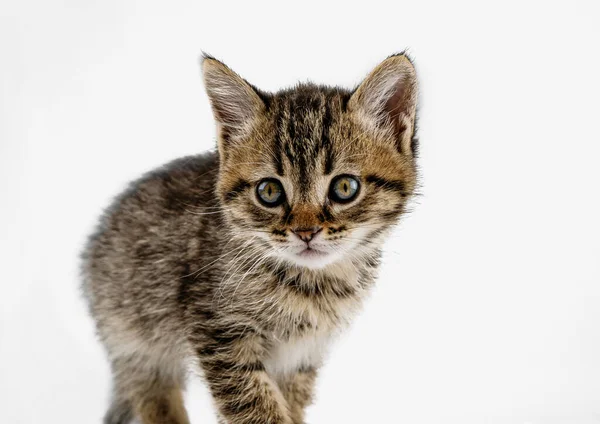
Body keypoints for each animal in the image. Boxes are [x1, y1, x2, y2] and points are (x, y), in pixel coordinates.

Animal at [82, 53, 420, 424]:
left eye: (345, 187)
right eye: (269, 192)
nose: (305, 232)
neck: (312, 285)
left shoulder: (301, 354)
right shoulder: (218, 331)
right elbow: (256, 407)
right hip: (135, 335)